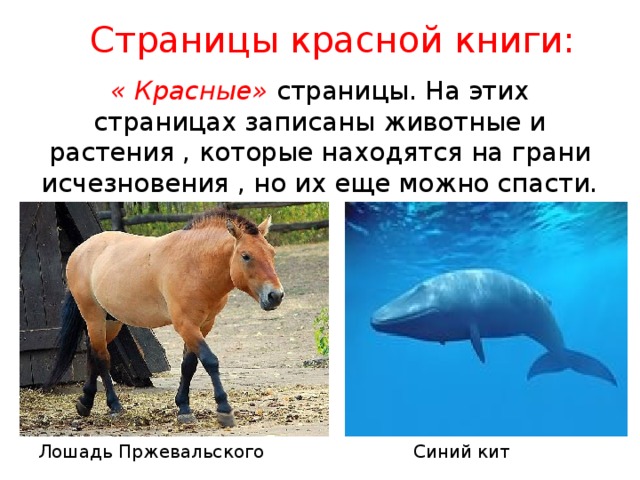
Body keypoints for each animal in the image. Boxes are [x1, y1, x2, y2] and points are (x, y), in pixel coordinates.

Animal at [45, 208, 285, 427]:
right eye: (246, 256)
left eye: (272, 253)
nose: (275, 295)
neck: (195, 264)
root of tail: (80, 250)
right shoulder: (186, 325)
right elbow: (210, 361)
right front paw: (224, 408)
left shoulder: (203, 325)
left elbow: (189, 365)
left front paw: (184, 408)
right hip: (93, 316)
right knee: (102, 356)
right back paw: (113, 405)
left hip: (111, 320)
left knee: (93, 352)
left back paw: (85, 402)